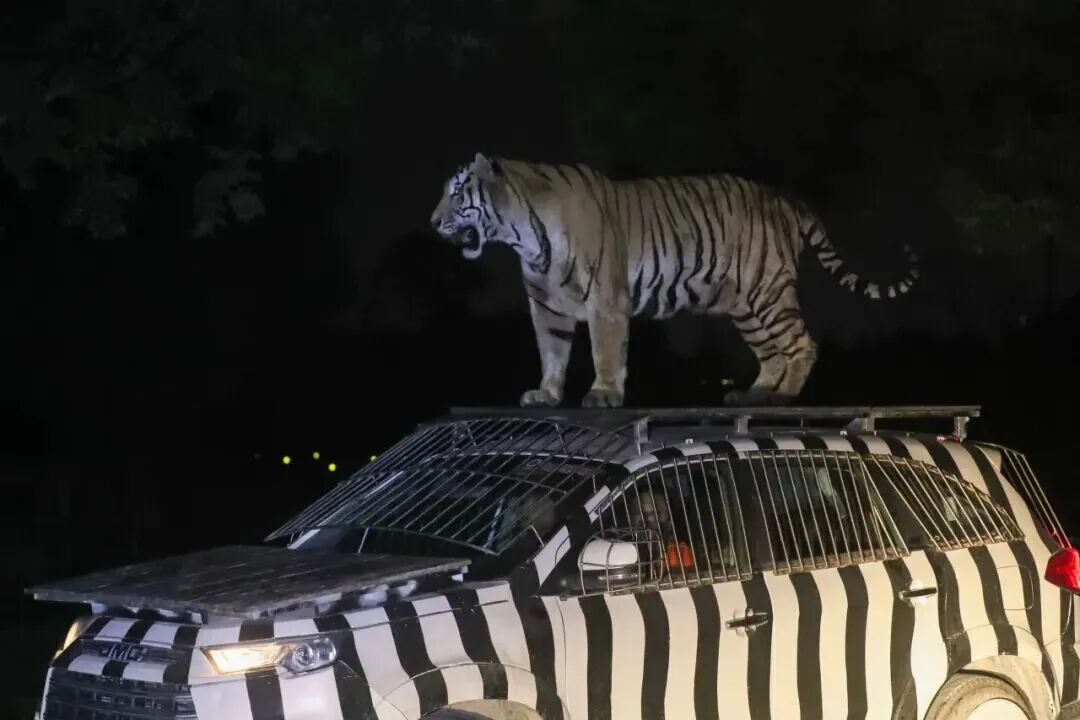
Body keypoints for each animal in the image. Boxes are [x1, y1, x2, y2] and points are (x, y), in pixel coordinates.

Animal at [430, 152, 919, 408]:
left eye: (456, 194)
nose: (433, 221)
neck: (521, 236)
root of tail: (783, 197)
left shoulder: (605, 300)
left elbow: (605, 351)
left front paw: (603, 394)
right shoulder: (546, 306)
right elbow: (552, 352)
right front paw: (546, 394)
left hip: (767, 291)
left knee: (803, 343)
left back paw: (783, 397)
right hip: (746, 304)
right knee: (771, 352)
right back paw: (756, 394)